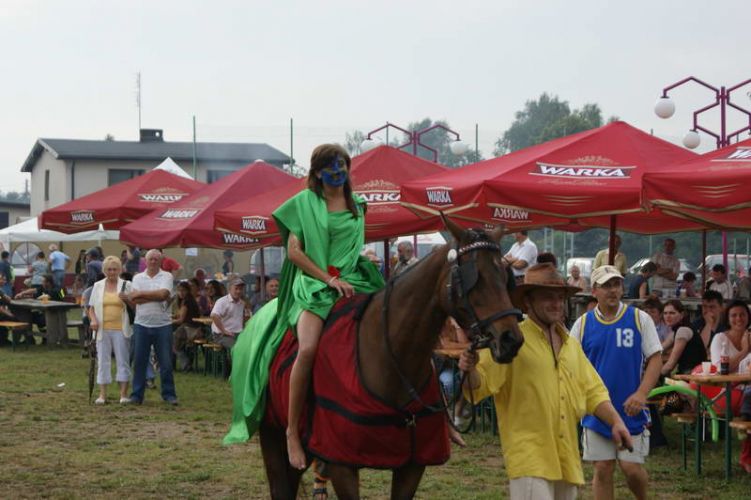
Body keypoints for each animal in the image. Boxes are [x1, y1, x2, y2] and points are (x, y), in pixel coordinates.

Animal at [258, 219, 524, 500]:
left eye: (503, 276)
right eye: (475, 277)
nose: (511, 339)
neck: (388, 358)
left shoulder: (412, 466)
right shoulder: (342, 465)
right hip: (273, 434)